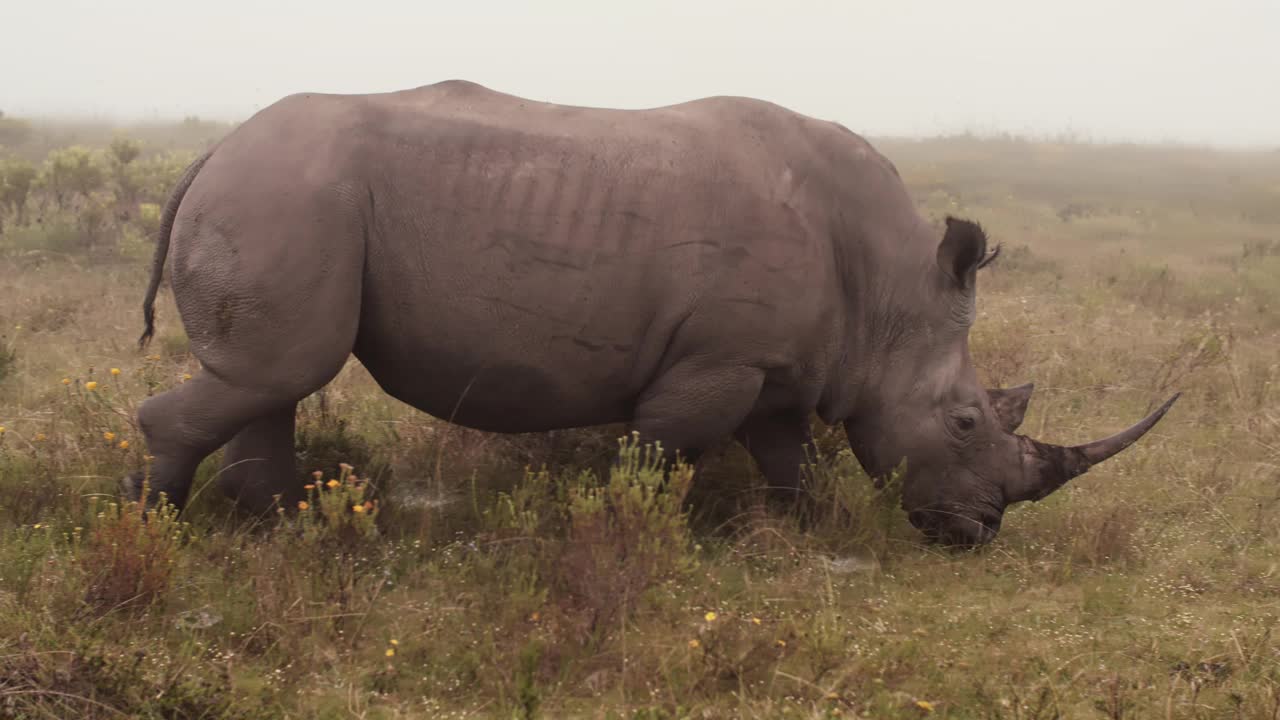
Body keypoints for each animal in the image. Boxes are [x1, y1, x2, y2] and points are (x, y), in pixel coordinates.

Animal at [129, 78, 1177, 543]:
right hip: (287, 196)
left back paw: (283, 533)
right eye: (964, 421)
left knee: (270, 377)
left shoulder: (780, 365)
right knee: (276, 372)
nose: (980, 531)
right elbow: (660, 452)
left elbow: (789, 458)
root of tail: (211, 151)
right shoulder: (719, 359)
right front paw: (632, 531)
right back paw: (148, 532)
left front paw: (794, 537)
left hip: (292, 199)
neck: (889, 292)